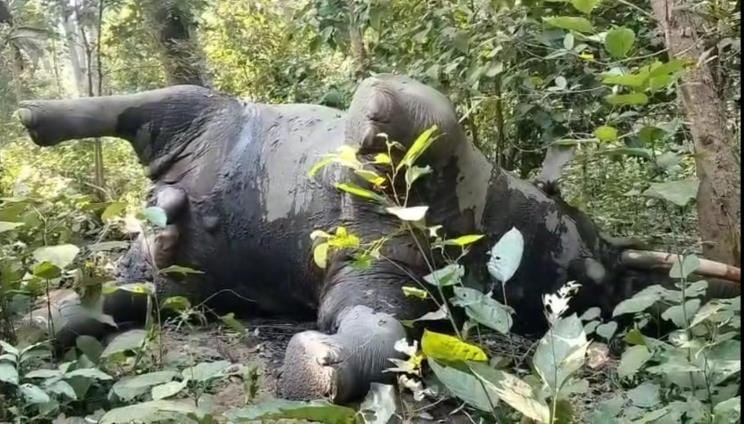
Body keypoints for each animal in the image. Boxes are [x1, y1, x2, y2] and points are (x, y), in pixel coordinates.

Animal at [16, 74, 740, 403]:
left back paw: (49, 312)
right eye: (592, 261)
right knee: (149, 106)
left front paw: (315, 370)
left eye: (595, 292)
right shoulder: (450, 152)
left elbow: (379, 336)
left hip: (183, 282)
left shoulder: (387, 281)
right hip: (205, 115)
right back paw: (32, 116)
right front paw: (365, 123)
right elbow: (414, 105)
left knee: (120, 296)